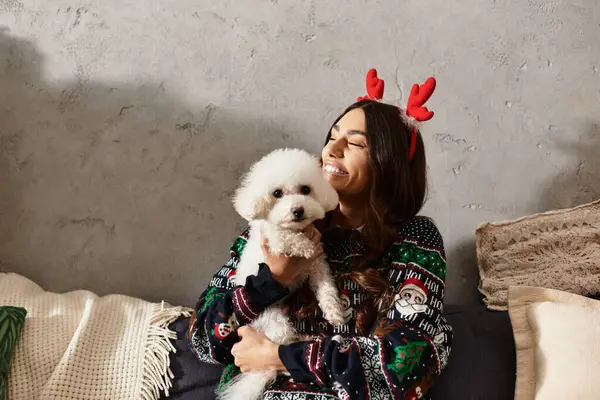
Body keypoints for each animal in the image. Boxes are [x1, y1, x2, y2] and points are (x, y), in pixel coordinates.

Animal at [219, 148, 342, 400]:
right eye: (277, 193)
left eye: (306, 189)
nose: (298, 210)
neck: (297, 229)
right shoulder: (274, 241)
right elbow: (285, 237)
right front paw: (304, 246)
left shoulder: (318, 267)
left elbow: (326, 289)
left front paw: (335, 313)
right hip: (274, 321)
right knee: (281, 348)